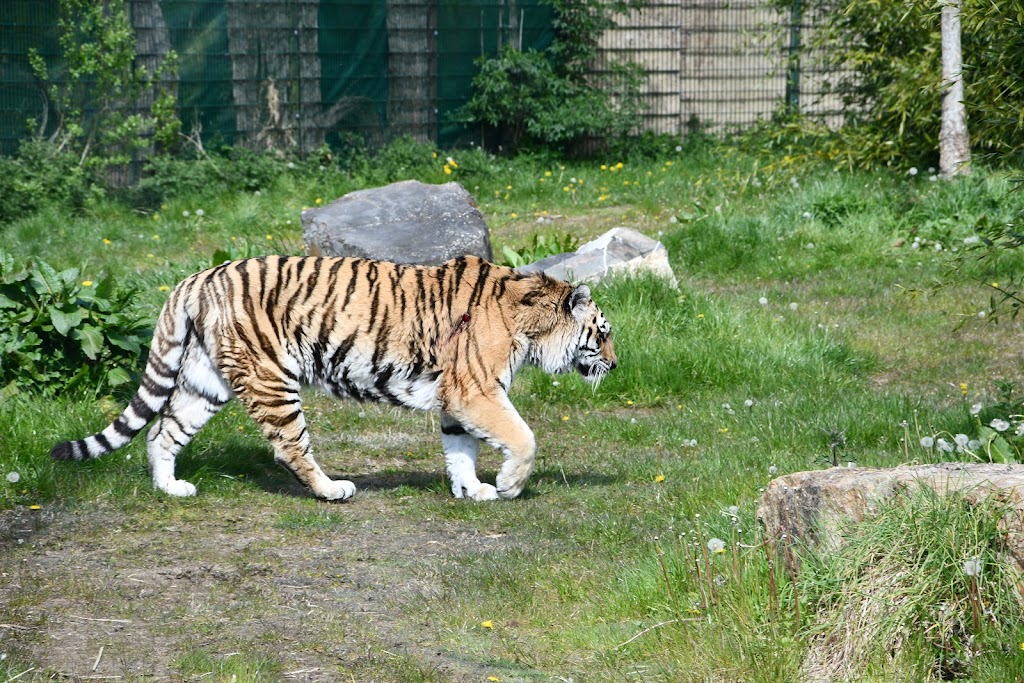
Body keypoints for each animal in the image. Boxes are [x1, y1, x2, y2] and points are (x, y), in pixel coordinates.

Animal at [54, 254, 614, 501]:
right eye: (603, 334)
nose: (616, 363)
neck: (530, 321)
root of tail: (197, 278)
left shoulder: (456, 398)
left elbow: (461, 450)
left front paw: (472, 490)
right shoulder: (476, 391)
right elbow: (524, 438)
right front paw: (508, 486)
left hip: (204, 380)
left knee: (161, 430)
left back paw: (171, 488)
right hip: (272, 378)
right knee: (289, 447)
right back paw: (332, 489)